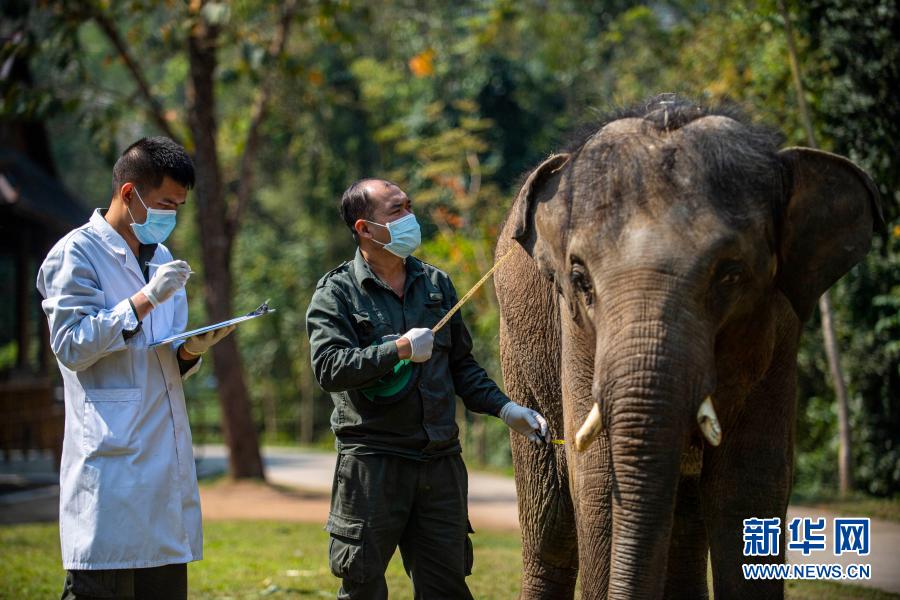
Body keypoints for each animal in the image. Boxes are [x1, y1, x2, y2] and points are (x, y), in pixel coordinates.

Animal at [494, 95, 881, 599]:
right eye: (580, 279)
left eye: (731, 274)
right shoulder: (574, 329)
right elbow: (597, 479)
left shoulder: (780, 330)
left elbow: (750, 481)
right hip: (518, 350)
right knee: (552, 528)